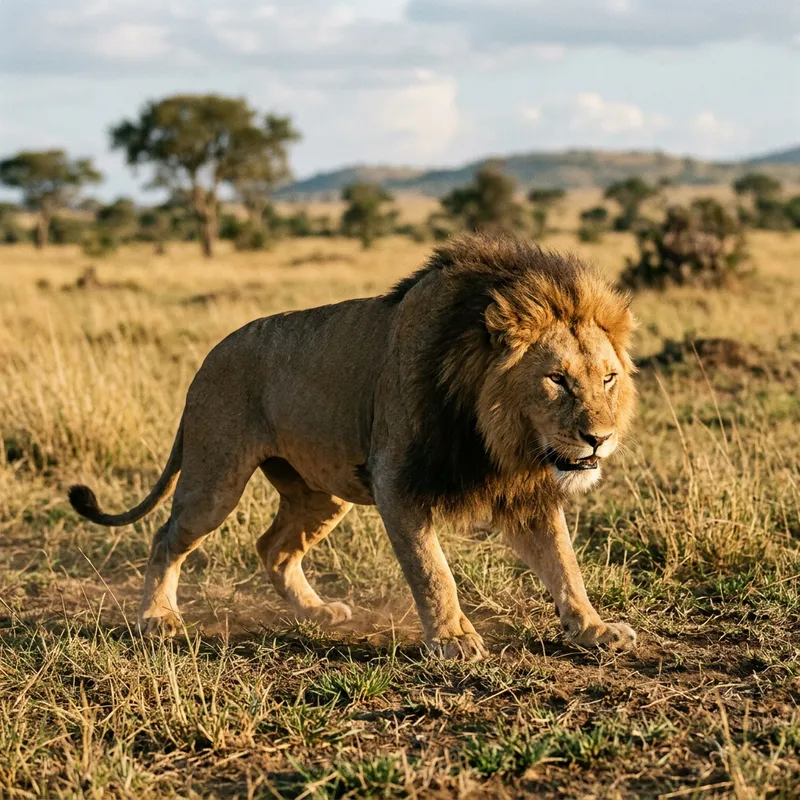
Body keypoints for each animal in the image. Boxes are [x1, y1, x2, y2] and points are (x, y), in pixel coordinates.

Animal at [69, 233, 638, 660]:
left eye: (608, 379)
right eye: (557, 380)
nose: (599, 438)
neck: (496, 436)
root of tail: (207, 359)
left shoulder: (524, 491)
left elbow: (564, 563)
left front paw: (594, 629)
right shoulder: (395, 480)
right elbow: (432, 570)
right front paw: (453, 639)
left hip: (322, 493)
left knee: (272, 547)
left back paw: (317, 612)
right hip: (216, 477)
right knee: (168, 535)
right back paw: (156, 617)